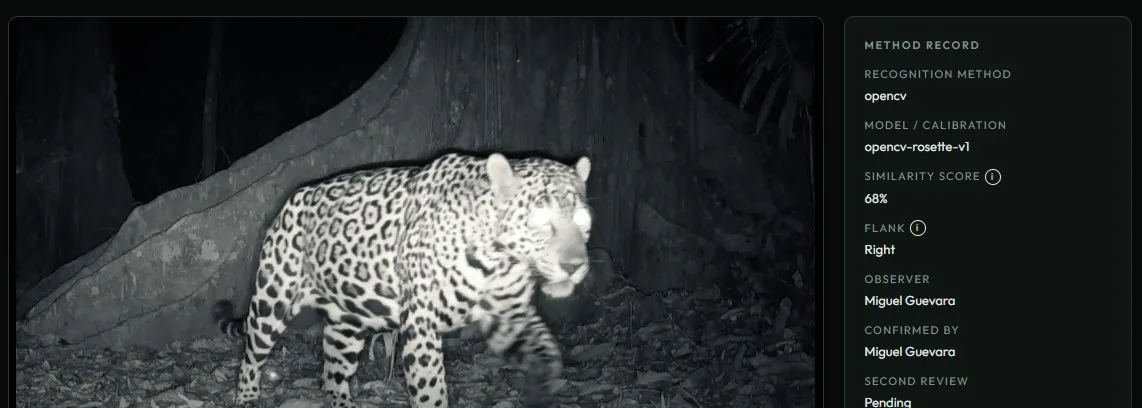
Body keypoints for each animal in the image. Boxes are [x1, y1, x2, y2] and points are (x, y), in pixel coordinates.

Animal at [210, 152, 594, 408]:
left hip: (348, 321)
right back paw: (247, 397)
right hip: (273, 299)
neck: (498, 260)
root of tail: (289, 202)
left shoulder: (510, 317)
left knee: (332, 372)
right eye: (542, 223)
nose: (574, 266)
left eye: (583, 222)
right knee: (252, 354)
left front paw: (544, 384)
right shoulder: (422, 326)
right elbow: (431, 392)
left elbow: (543, 348)